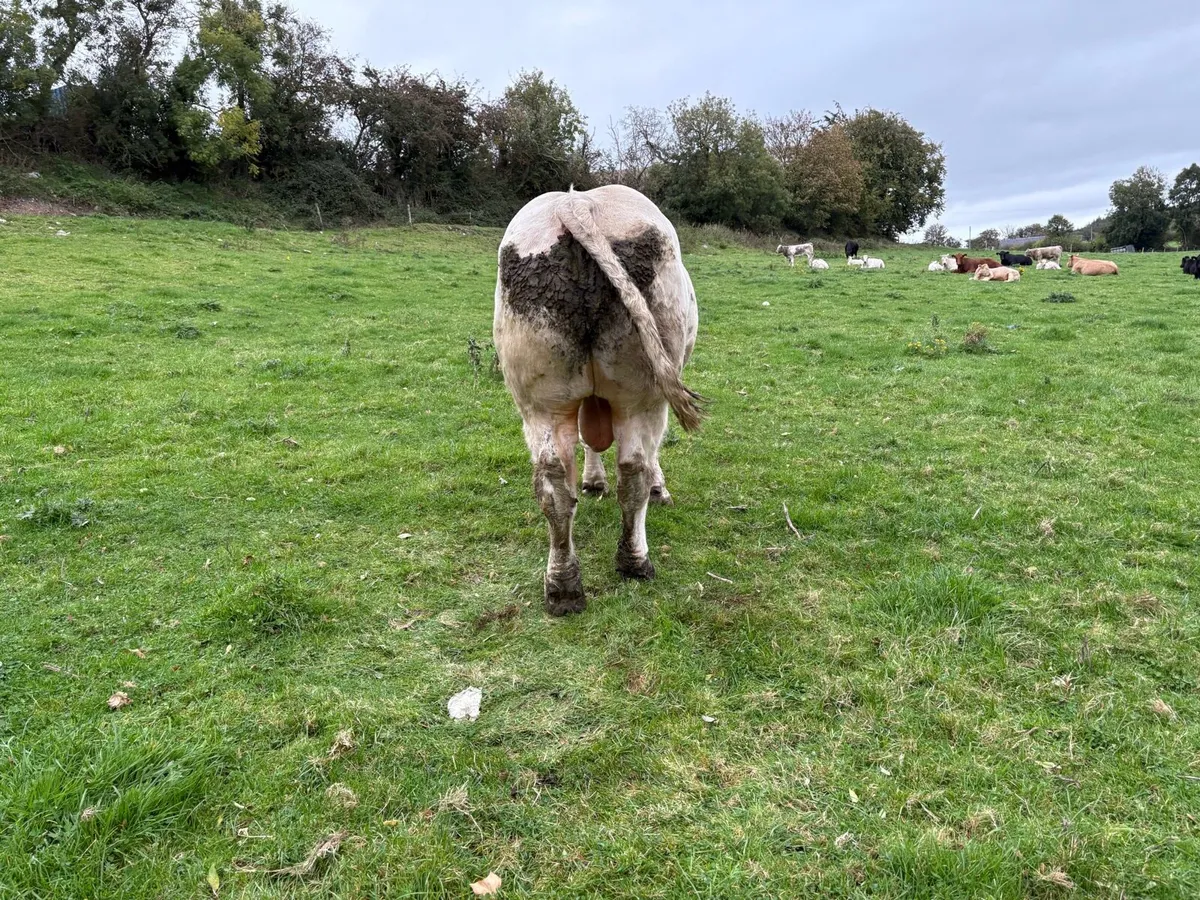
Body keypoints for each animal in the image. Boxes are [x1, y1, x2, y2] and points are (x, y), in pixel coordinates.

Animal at [494, 185, 702, 615]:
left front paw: (591, 482)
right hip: (645, 396)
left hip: (542, 403)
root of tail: (578, 202)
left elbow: (588, 438)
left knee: (554, 485)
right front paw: (658, 490)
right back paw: (635, 561)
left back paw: (563, 586)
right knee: (636, 469)